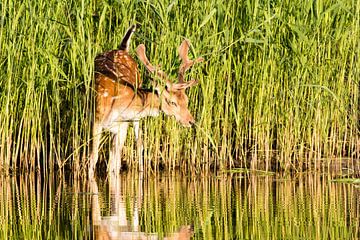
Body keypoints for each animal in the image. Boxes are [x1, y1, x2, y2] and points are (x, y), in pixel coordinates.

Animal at [89, 25, 202, 177]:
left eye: (186, 100)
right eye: (173, 102)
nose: (191, 121)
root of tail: (121, 49)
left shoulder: (122, 124)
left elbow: (115, 164)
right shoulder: (97, 120)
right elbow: (94, 158)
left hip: (132, 121)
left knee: (138, 144)